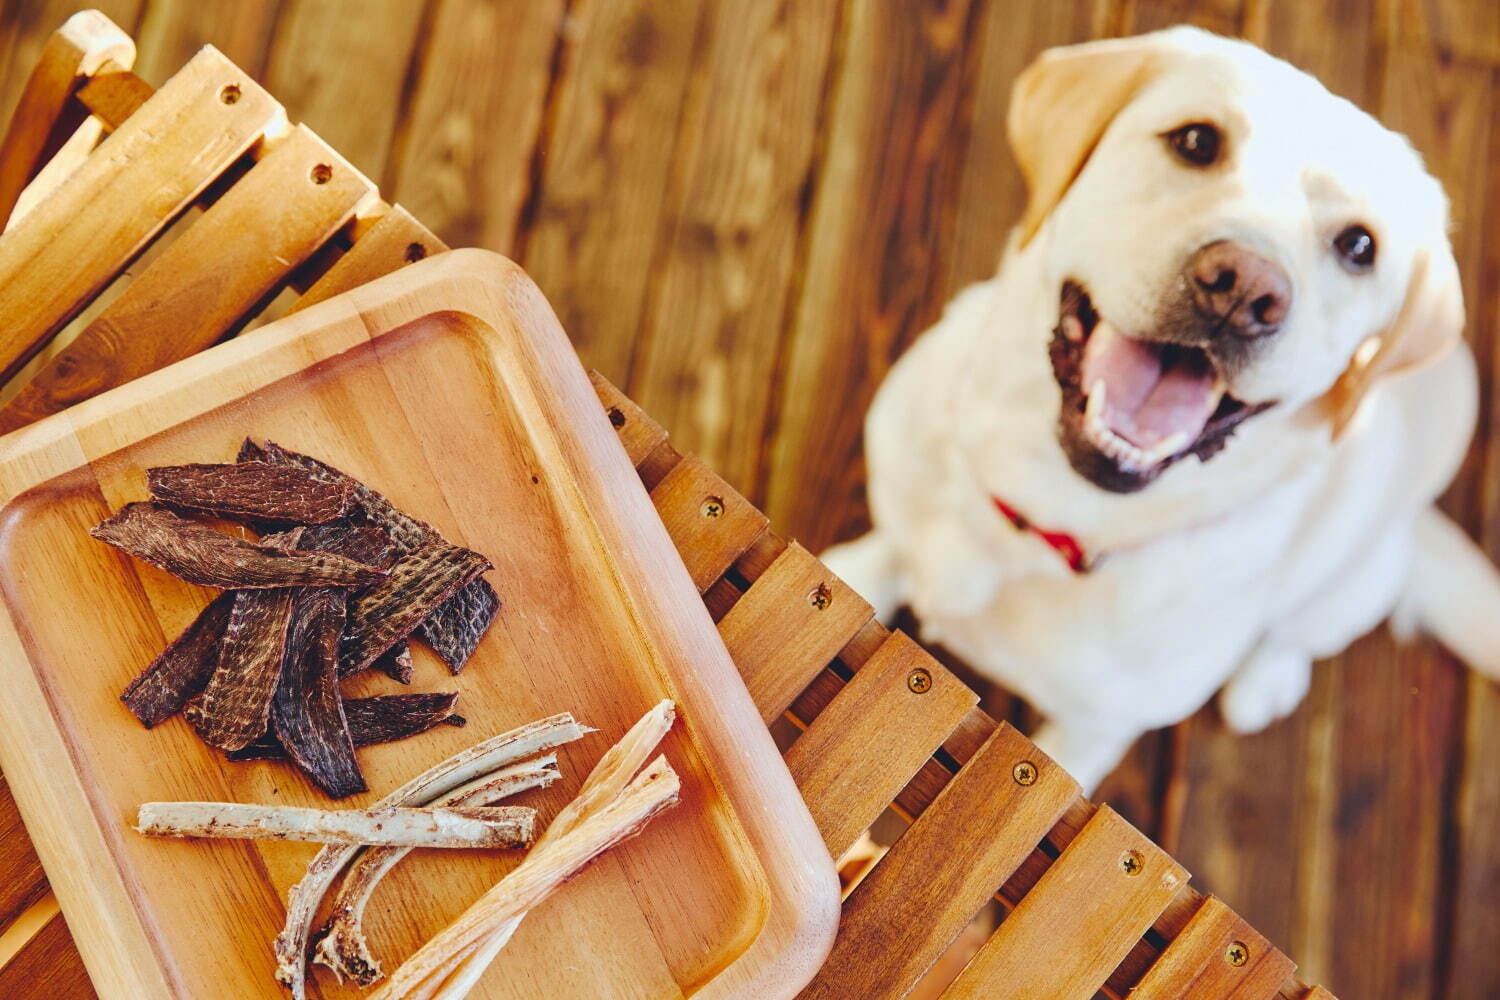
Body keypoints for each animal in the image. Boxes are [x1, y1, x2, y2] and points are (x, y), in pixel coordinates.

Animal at [828, 23, 1494, 791]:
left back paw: (1265, 682)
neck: (1045, 518)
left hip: (1357, 577)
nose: (1245, 289)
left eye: (1360, 246)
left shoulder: (1087, 739)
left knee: (1300, 630)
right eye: (1197, 141)